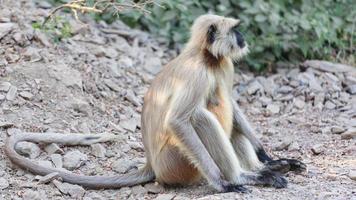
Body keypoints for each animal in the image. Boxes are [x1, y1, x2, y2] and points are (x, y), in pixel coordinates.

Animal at [4, 14, 306, 192]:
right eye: (235, 31)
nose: (243, 39)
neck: (206, 57)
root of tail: (152, 164)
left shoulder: (224, 64)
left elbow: (232, 103)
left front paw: (268, 157)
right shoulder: (196, 73)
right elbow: (178, 120)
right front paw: (223, 183)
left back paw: (261, 169)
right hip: (176, 163)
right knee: (199, 116)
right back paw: (241, 177)